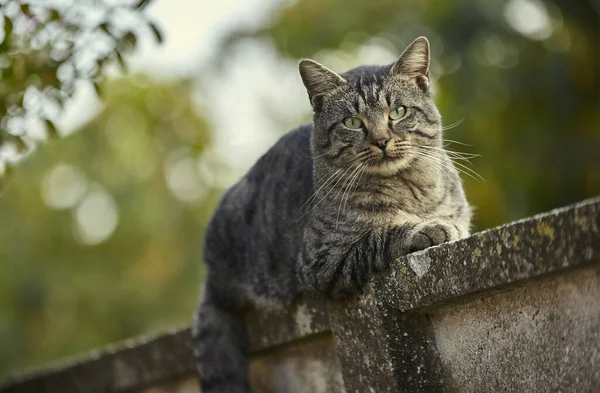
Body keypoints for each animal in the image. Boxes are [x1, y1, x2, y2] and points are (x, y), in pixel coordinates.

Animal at [195, 36, 472, 392]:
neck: (409, 190)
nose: (382, 140)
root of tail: (209, 272)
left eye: (398, 112)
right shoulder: (323, 260)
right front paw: (426, 228)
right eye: (352, 122)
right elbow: (382, 235)